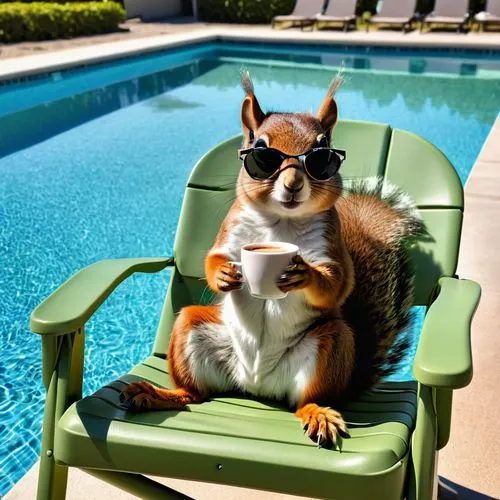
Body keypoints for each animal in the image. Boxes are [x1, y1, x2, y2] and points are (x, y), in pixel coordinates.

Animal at [121, 71, 422, 446]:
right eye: (260, 151)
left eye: (323, 154)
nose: (292, 184)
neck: (281, 222)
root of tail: (257, 386)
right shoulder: (230, 233)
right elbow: (213, 258)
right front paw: (223, 275)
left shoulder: (332, 248)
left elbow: (336, 285)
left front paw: (304, 274)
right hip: (192, 330)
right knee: (195, 394)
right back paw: (157, 394)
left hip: (330, 345)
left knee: (305, 398)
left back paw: (317, 413)